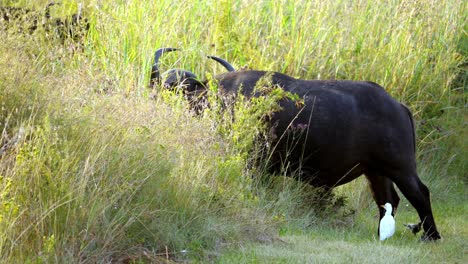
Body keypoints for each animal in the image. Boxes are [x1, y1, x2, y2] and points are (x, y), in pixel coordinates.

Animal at [149, 48, 438, 241]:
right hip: (375, 171)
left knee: (421, 193)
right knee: (388, 200)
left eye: (171, 86)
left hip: (401, 167)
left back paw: (430, 235)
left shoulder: (252, 165)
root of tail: (398, 106)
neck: (217, 99)